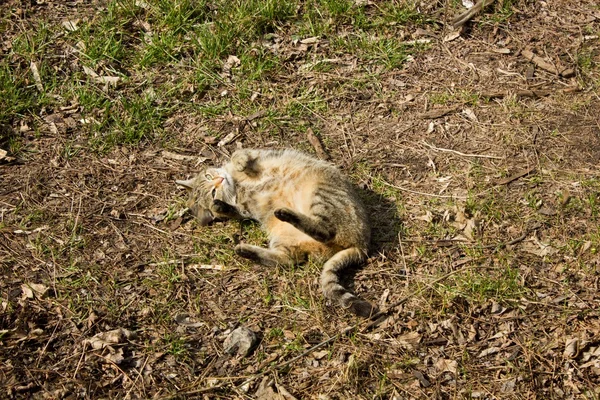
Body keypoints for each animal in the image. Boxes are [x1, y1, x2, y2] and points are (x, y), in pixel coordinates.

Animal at [176, 148, 378, 318]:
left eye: (209, 176)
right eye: (212, 192)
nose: (219, 180)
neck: (237, 186)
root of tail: (362, 244)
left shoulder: (256, 153)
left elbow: (237, 154)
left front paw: (239, 164)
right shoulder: (245, 210)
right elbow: (234, 210)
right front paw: (220, 207)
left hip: (320, 195)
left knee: (322, 234)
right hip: (286, 235)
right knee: (291, 256)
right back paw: (248, 248)